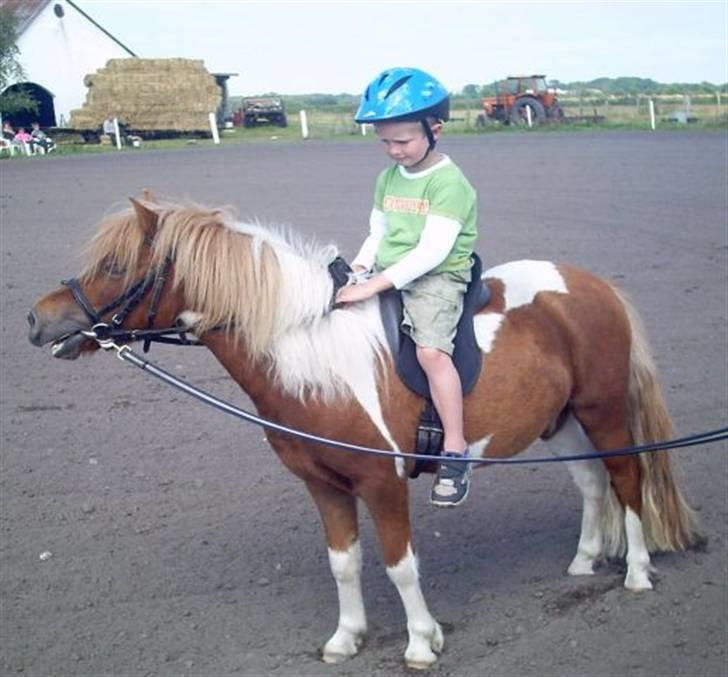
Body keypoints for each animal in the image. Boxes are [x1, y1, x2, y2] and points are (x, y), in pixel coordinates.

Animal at [25, 197, 704, 672]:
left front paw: (421, 643)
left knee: (627, 480)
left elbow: (400, 565)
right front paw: (346, 638)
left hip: (603, 410)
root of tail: (592, 283)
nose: (36, 319)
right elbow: (344, 563)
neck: (310, 358)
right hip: (558, 421)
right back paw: (585, 560)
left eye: (115, 266)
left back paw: (637, 572)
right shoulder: (325, 486)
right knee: (592, 484)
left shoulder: (382, 482)